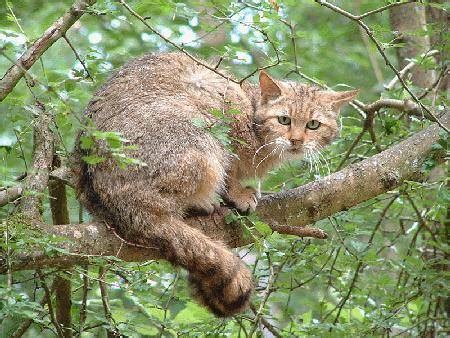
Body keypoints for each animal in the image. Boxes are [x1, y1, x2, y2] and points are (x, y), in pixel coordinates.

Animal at [75, 52, 358, 316]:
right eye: (284, 120)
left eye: (313, 125)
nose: (296, 140)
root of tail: (118, 201)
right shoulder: (228, 117)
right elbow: (232, 168)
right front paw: (238, 193)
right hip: (197, 136)